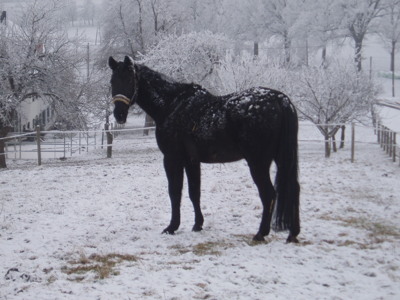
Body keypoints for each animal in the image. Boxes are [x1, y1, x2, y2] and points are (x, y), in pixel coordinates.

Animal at [108, 56, 298, 243]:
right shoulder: (191, 161)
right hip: (281, 159)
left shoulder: (172, 159)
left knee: (269, 194)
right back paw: (293, 233)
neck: (171, 105)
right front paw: (197, 225)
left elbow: (175, 192)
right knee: (293, 188)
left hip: (258, 162)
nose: (119, 115)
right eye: (112, 81)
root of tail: (279, 99)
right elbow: (194, 192)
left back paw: (261, 233)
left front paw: (172, 227)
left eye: (130, 79)